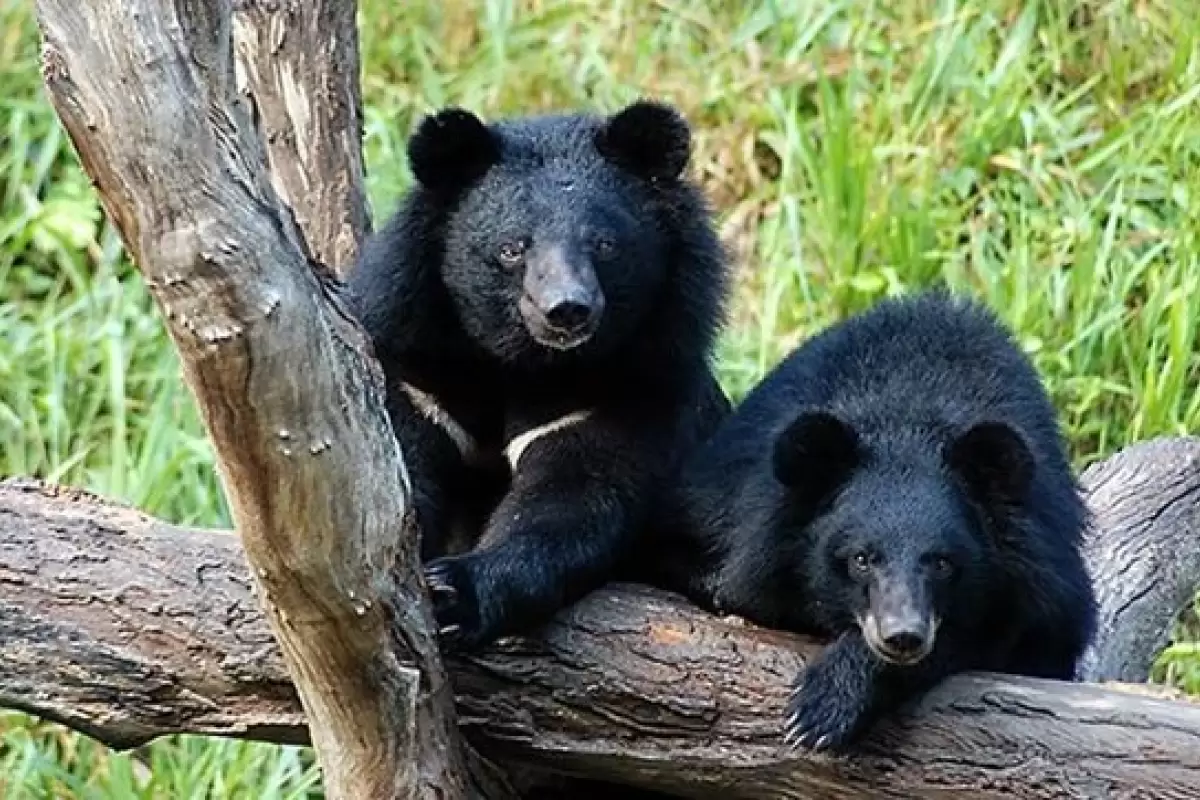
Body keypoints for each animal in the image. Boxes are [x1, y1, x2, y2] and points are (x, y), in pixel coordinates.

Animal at [348, 100, 729, 652]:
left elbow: (573, 500)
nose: (567, 310)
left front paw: (455, 592)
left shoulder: (634, 387)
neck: (523, 364)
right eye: (512, 248)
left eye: (605, 244)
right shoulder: (415, 372)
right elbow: (397, 479)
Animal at [657, 292, 1099, 753]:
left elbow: (1001, 635)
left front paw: (821, 707)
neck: (908, 418)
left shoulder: (1043, 572)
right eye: (861, 559)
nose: (903, 637)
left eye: (942, 563)